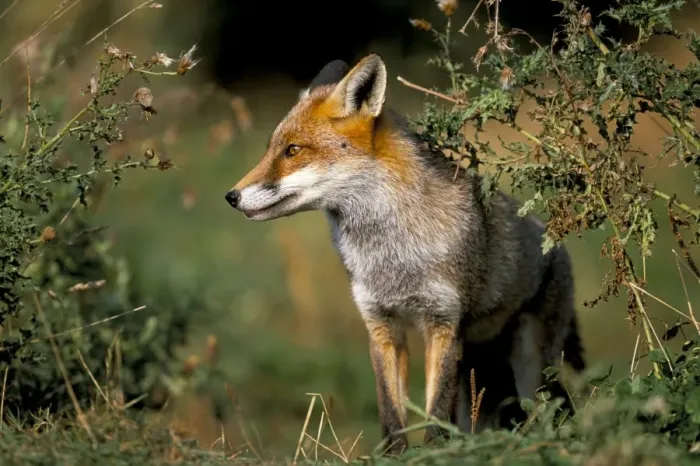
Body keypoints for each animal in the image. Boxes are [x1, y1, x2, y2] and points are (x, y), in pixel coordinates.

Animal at [224, 53, 585, 455]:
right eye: (272, 148)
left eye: (293, 150)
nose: (231, 196)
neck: (393, 257)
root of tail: (555, 241)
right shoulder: (381, 326)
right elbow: (390, 412)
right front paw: (392, 456)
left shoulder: (444, 325)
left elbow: (435, 413)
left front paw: (434, 454)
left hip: (532, 366)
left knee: (552, 412)